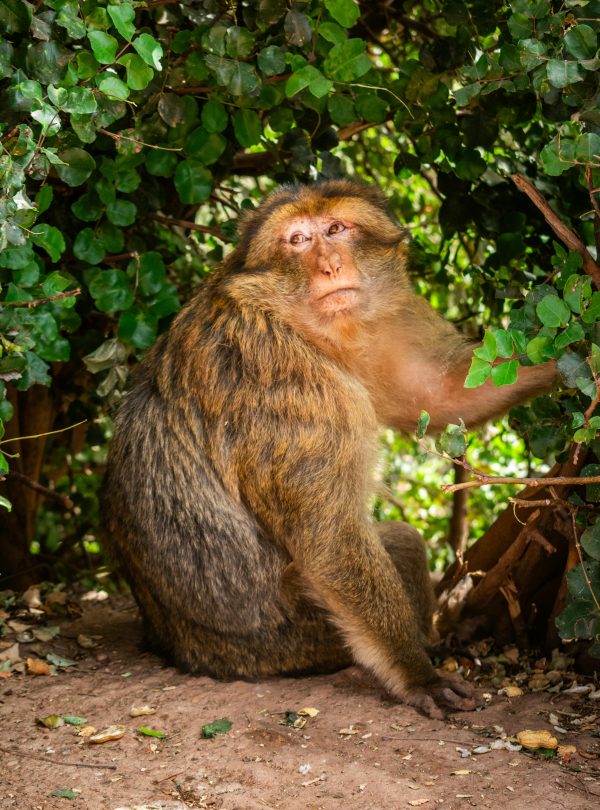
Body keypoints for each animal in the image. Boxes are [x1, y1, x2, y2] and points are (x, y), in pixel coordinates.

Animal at [102, 179, 556, 719]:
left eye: (336, 229)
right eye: (298, 240)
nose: (329, 266)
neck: (299, 324)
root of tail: (176, 644)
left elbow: (439, 393)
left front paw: (571, 354)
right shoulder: (291, 389)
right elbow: (329, 543)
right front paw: (416, 673)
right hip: (293, 642)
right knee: (394, 545)